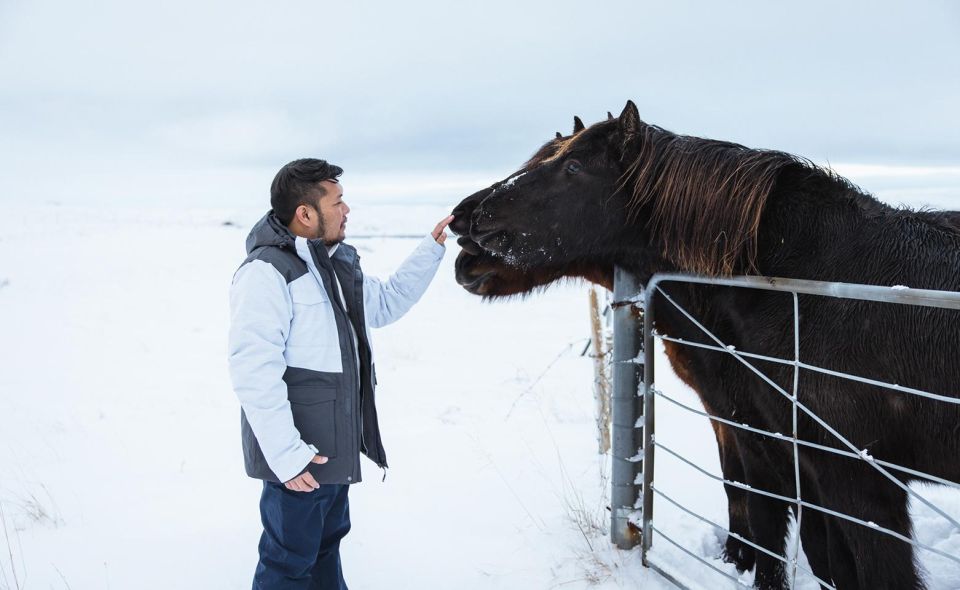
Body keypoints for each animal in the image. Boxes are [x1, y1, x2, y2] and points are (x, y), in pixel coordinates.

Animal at [452, 103, 960, 590]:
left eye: (572, 166)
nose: (466, 223)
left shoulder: (851, 476)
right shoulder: (759, 434)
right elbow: (773, 518)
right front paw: (736, 559)